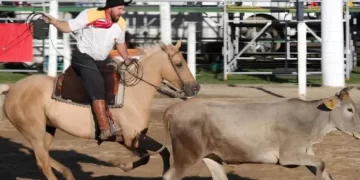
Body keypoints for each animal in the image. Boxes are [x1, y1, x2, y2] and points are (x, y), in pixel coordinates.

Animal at [0, 40, 200, 179]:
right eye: (179, 63)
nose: (195, 88)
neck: (134, 92)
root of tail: (12, 88)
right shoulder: (129, 139)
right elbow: (146, 157)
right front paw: (120, 165)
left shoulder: (136, 136)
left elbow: (162, 152)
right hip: (33, 132)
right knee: (43, 162)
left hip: (47, 130)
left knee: (44, 156)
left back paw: (68, 173)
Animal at [163, 86, 360, 179]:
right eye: (350, 109)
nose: (359, 131)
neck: (310, 118)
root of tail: (176, 108)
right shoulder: (288, 156)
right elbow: (321, 164)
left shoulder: (306, 151)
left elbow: (325, 171)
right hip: (186, 155)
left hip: (211, 156)